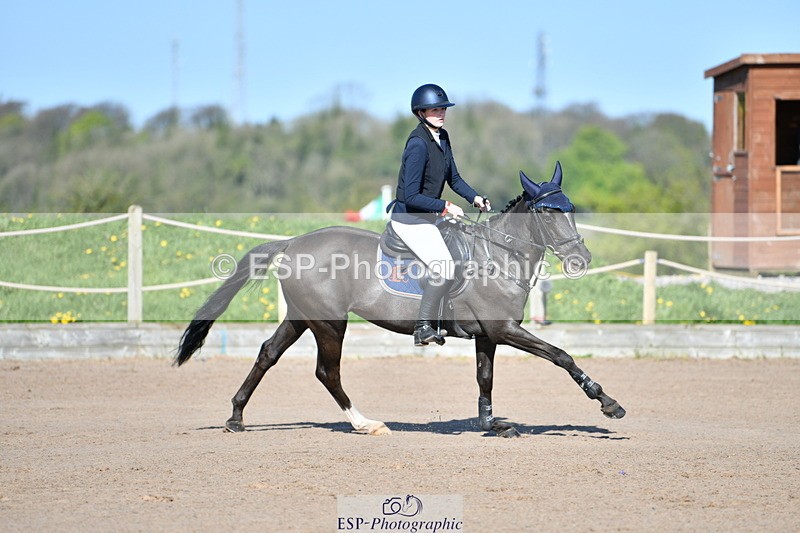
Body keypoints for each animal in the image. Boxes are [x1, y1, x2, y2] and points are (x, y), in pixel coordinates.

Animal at [175, 162, 626, 437]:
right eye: (548, 213)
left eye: (570, 208)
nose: (581, 259)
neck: (498, 256)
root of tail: (294, 242)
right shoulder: (505, 329)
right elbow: (561, 355)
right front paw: (607, 402)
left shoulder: (488, 335)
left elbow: (485, 377)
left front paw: (491, 423)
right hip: (329, 323)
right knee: (327, 372)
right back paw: (364, 423)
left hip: (303, 317)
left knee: (268, 354)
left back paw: (236, 417)